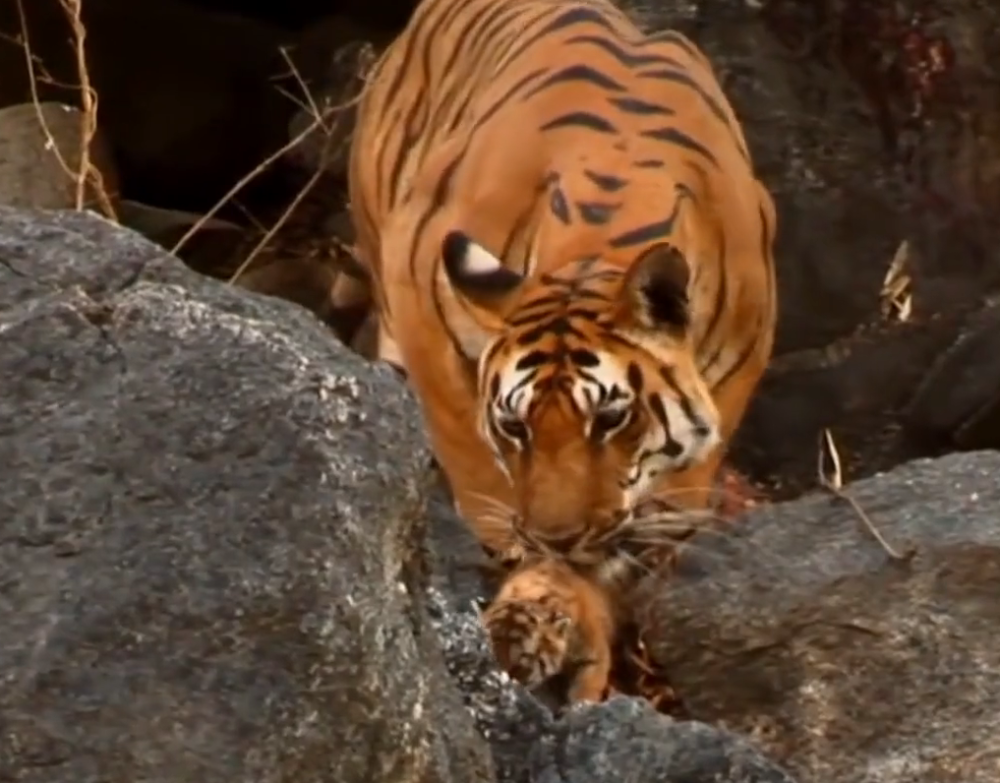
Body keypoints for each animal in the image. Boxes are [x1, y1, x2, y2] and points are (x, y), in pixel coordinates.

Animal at [344, 0, 780, 564]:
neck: (596, 249)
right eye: (515, 426)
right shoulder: (417, 288)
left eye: (611, 419)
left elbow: (685, 484)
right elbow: (468, 449)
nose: (558, 540)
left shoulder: (739, 366)